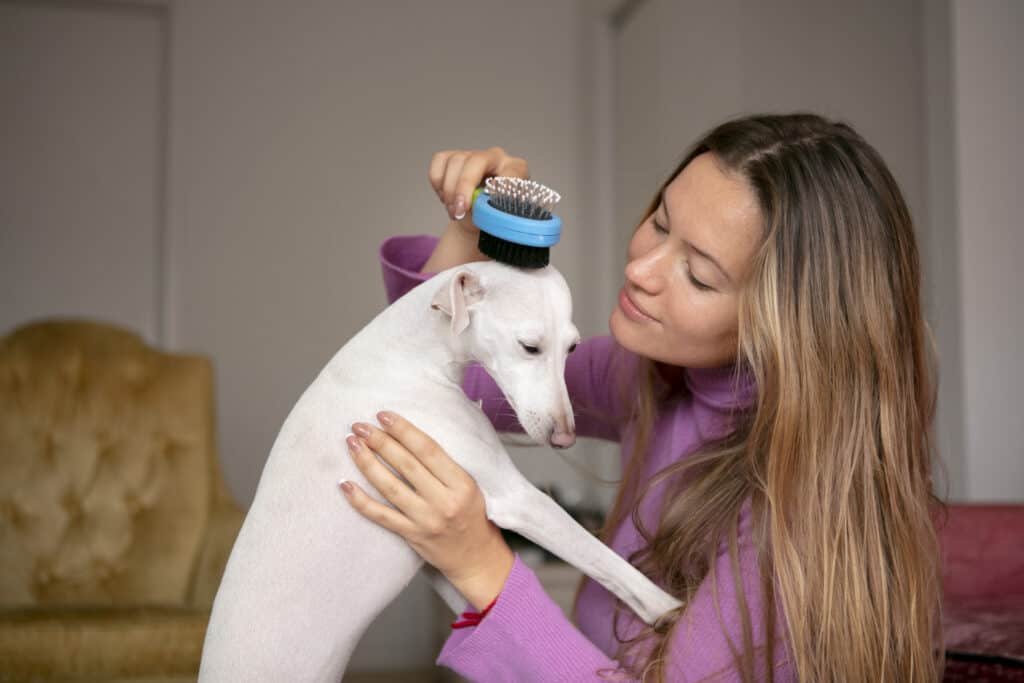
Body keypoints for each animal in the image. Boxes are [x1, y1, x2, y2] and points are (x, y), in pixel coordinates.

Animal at [196, 260, 684, 679]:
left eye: (573, 348)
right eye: (530, 346)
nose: (564, 437)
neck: (404, 358)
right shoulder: (516, 498)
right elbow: (600, 557)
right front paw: (667, 607)